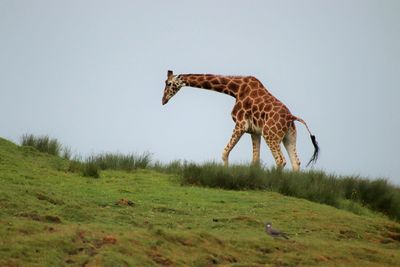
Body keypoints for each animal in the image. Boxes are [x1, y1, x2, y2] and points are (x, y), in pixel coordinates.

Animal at [161, 70, 320, 172]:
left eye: (168, 83)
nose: (163, 100)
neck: (235, 89)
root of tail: (291, 117)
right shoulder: (254, 131)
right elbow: (255, 161)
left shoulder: (241, 124)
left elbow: (224, 153)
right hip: (289, 137)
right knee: (296, 162)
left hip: (271, 135)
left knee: (281, 161)